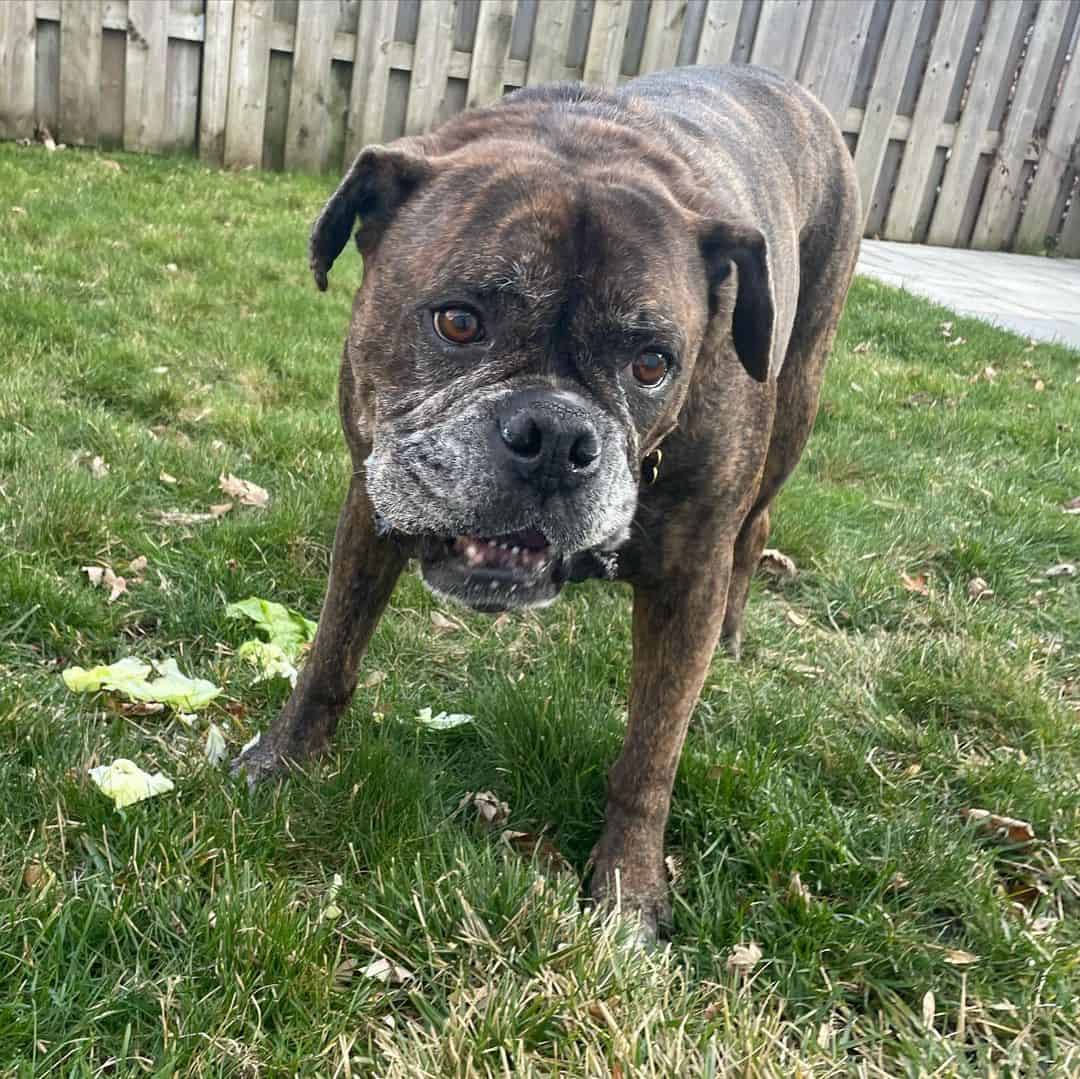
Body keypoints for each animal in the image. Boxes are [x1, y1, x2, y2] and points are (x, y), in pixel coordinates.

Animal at [236, 65, 859, 937]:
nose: (557, 435)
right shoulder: (372, 502)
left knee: (758, 523)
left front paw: (629, 891)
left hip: (796, 395)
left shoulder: (690, 581)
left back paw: (735, 636)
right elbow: (331, 651)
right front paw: (284, 760)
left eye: (652, 363)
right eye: (459, 321)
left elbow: (651, 752)